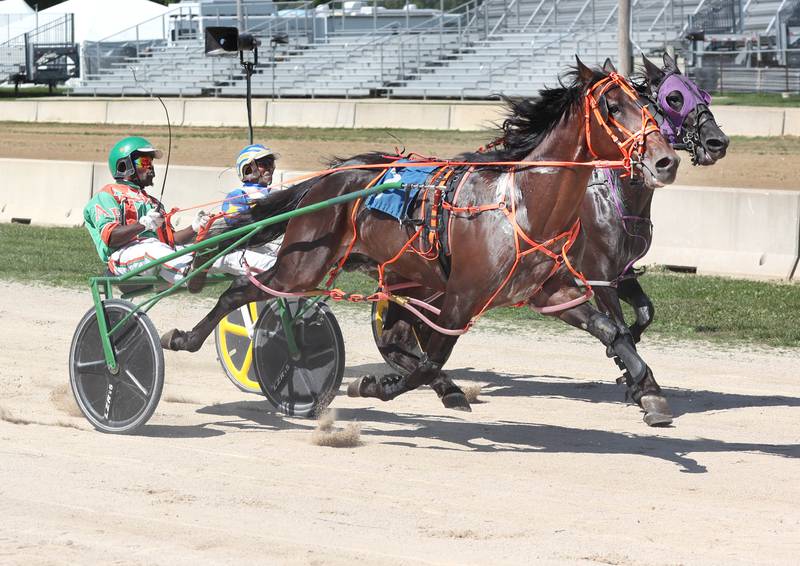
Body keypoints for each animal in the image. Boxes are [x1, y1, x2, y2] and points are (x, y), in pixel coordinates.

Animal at [161, 61, 680, 426]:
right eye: (612, 106)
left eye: (647, 103)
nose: (666, 160)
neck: (521, 204)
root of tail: (325, 181)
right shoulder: (463, 298)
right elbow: (431, 358)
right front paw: (373, 387)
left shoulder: (552, 291)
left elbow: (612, 331)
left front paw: (648, 390)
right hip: (305, 263)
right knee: (244, 290)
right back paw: (184, 337)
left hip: (402, 277)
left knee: (392, 337)